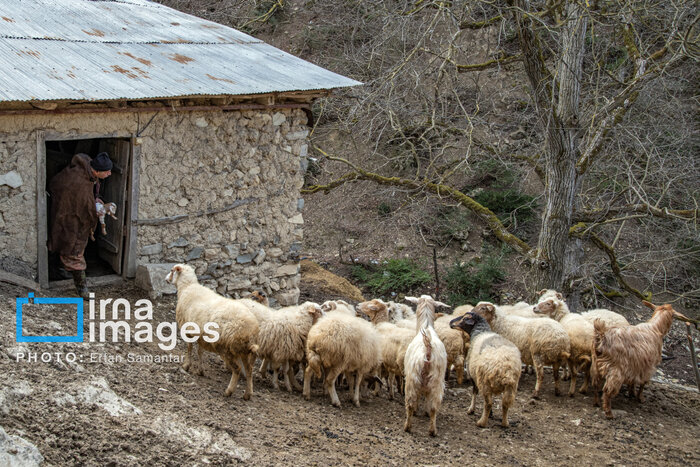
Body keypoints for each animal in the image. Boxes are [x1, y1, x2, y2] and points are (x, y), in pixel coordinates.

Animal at [165, 266, 258, 400]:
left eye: (172, 271)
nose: (166, 279)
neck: (187, 287)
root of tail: (250, 331)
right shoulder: (201, 335)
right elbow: (200, 351)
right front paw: (200, 370)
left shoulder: (187, 330)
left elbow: (189, 348)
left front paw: (186, 366)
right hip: (243, 351)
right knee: (249, 369)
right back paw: (247, 394)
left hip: (227, 349)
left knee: (237, 369)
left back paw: (229, 391)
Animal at [400, 296, 448, 438]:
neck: (426, 326)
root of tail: (428, 347)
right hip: (437, 379)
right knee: (433, 407)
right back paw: (432, 430)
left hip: (412, 378)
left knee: (410, 403)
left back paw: (408, 427)